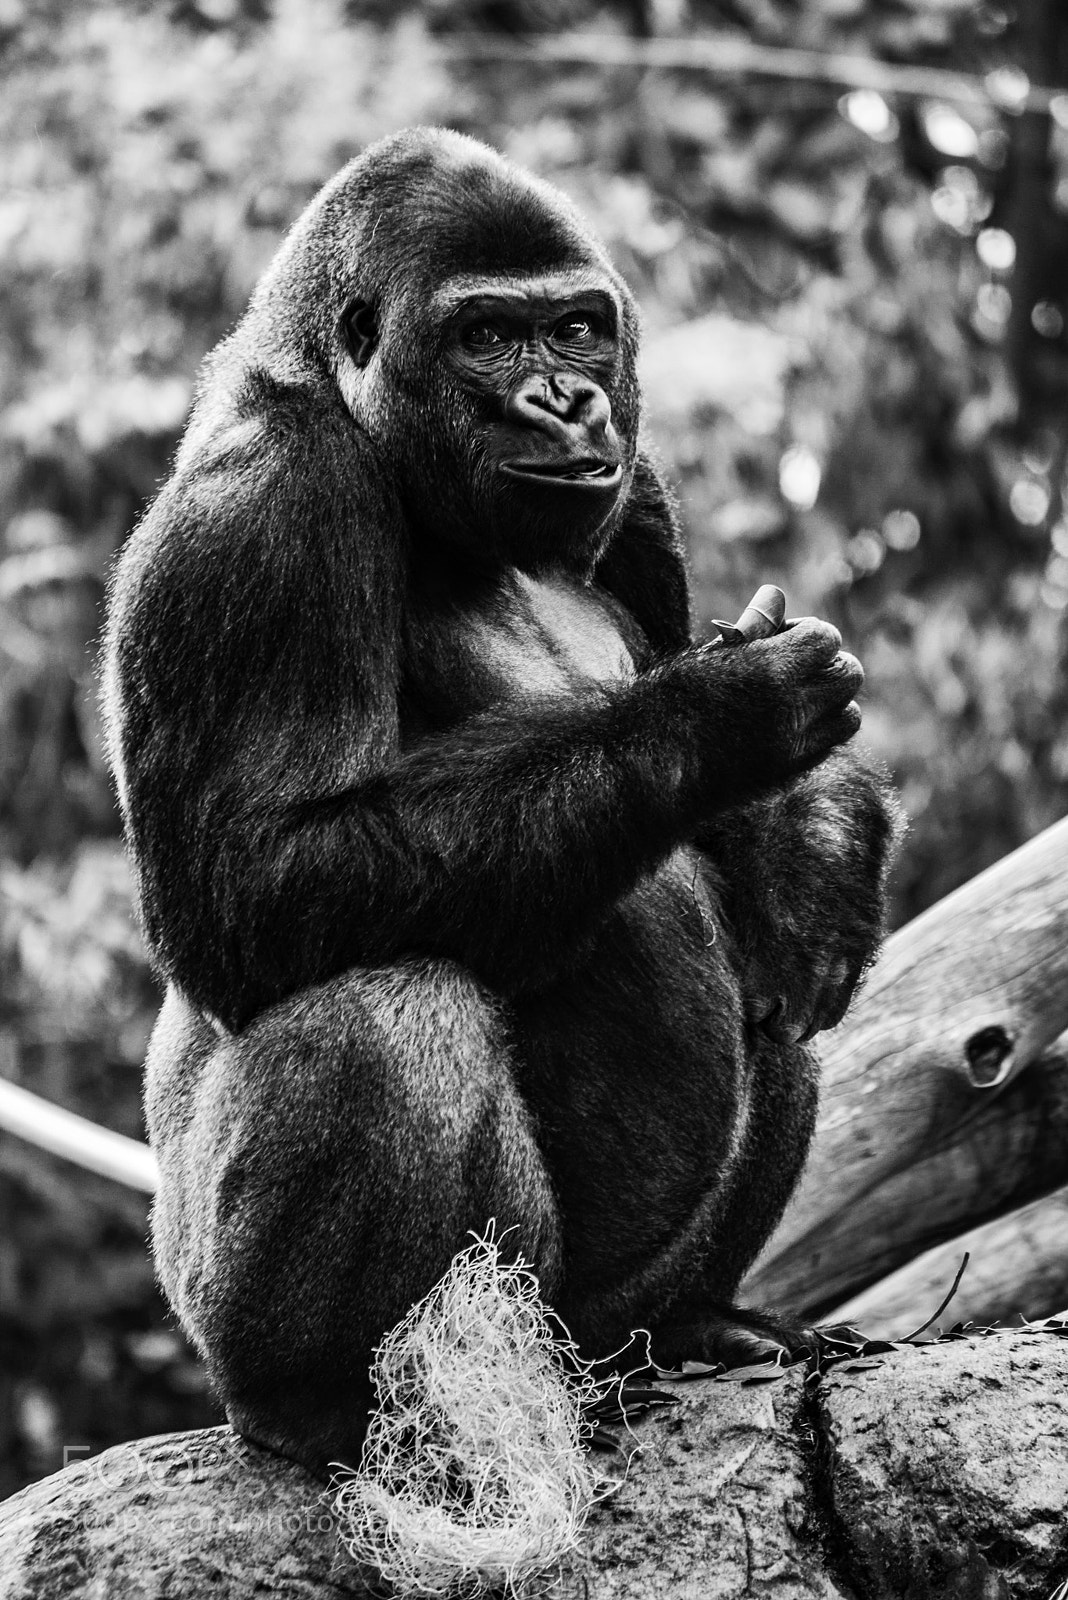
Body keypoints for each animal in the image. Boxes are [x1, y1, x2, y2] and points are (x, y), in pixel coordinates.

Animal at [102, 126, 899, 1480]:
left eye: (578, 329)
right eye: (485, 338)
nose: (565, 402)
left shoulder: (642, 493)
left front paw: (816, 846)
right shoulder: (260, 510)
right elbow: (254, 885)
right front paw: (720, 718)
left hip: (596, 1329)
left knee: (770, 1012)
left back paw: (702, 1321)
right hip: (266, 1316)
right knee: (381, 1013)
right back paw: (337, 1403)